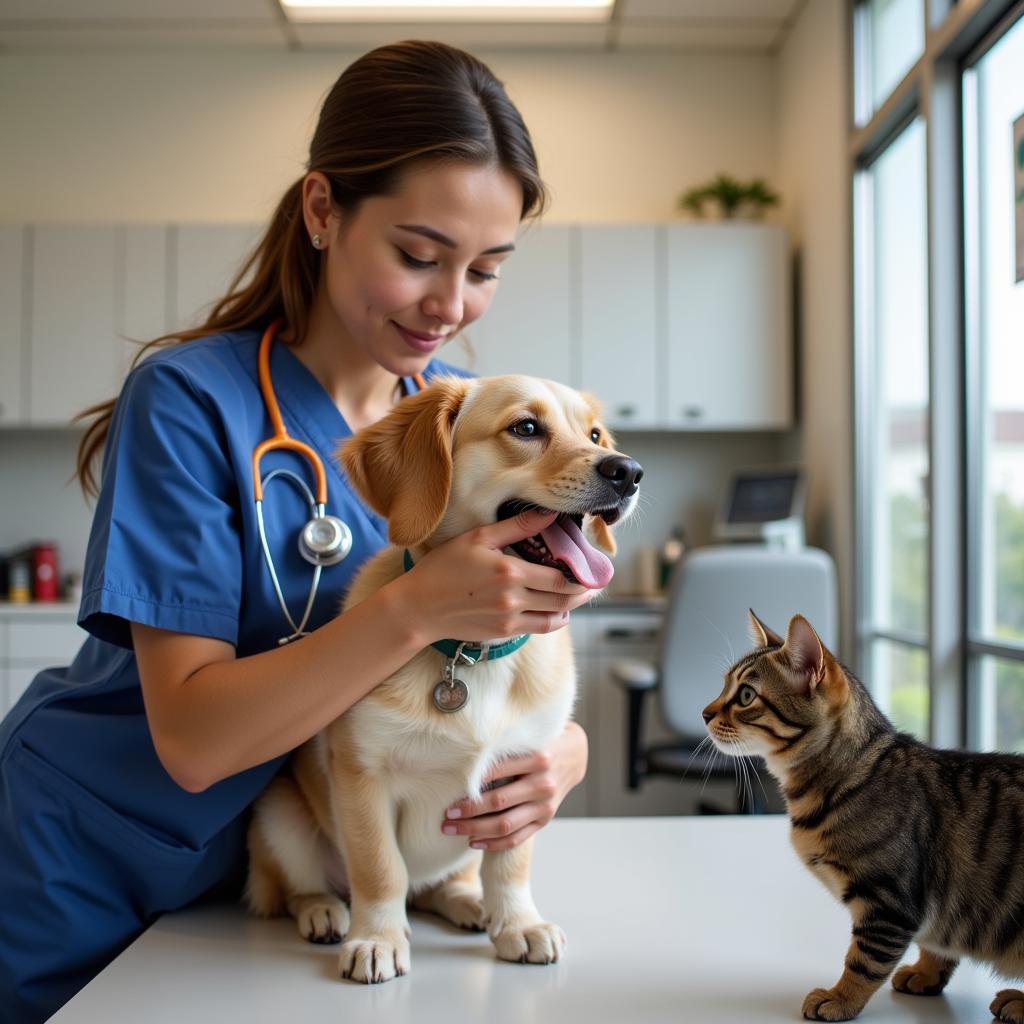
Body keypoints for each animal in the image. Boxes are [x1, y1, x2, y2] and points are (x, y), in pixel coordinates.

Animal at [242, 374, 638, 983]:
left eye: (594, 434)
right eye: (526, 427)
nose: (629, 471)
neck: (476, 654)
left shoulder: (523, 775)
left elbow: (510, 865)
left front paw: (518, 923)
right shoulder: (362, 776)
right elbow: (380, 869)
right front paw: (377, 939)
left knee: (440, 885)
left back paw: (470, 903)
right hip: (278, 814)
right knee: (303, 888)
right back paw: (324, 911)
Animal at [700, 610, 1024, 1019]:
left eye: (745, 696)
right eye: (723, 685)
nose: (704, 713)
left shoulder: (888, 902)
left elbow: (863, 960)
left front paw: (840, 998)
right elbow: (935, 943)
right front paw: (926, 971)